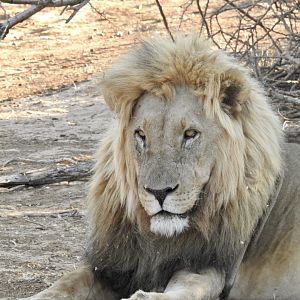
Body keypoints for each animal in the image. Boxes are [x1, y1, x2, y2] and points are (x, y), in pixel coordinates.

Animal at [21, 34, 300, 298]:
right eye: (141, 135)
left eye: (190, 134)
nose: (159, 192)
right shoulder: (115, 266)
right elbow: (68, 281)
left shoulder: (209, 265)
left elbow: (186, 287)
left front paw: (142, 297)